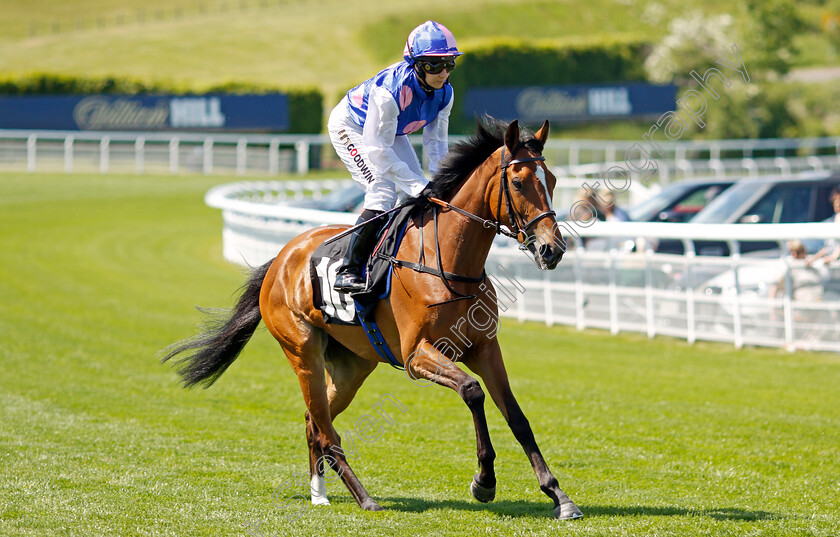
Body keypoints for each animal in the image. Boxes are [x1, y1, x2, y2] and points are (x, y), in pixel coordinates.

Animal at [162, 117, 584, 520]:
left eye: (552, 180)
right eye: (518, 181)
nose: (552, 249)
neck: (448, 261)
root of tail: (280, 258)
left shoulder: (485, 348)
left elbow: (517, 416)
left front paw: (559, 496)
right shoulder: (417, 355)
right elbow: (472, 391)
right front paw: (484, 481)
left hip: (352, 367)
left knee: (314, 421)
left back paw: (320, 494)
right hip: (303, 352)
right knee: (326, 431)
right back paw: (364, 497)